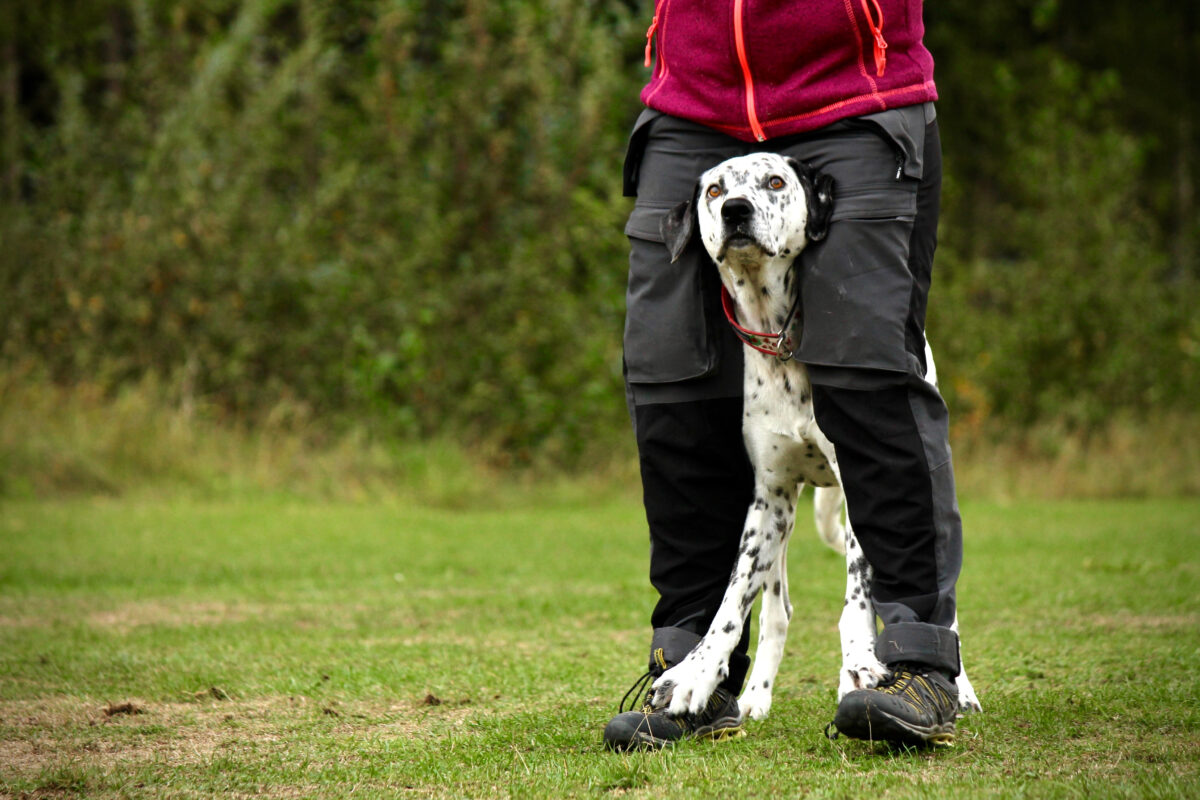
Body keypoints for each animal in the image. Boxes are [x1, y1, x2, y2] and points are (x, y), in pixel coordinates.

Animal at [652, 151, 979, 724]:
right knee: (777, 610)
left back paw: (957, 690)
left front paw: (860, 668)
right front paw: (695, 673)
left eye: (775, 182)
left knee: (944, 601)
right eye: (715, 190)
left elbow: (858, 601)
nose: (736, 211)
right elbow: (731, 606)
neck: (781, 341)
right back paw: (754, 696)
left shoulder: (862, 480)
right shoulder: (768, 499)